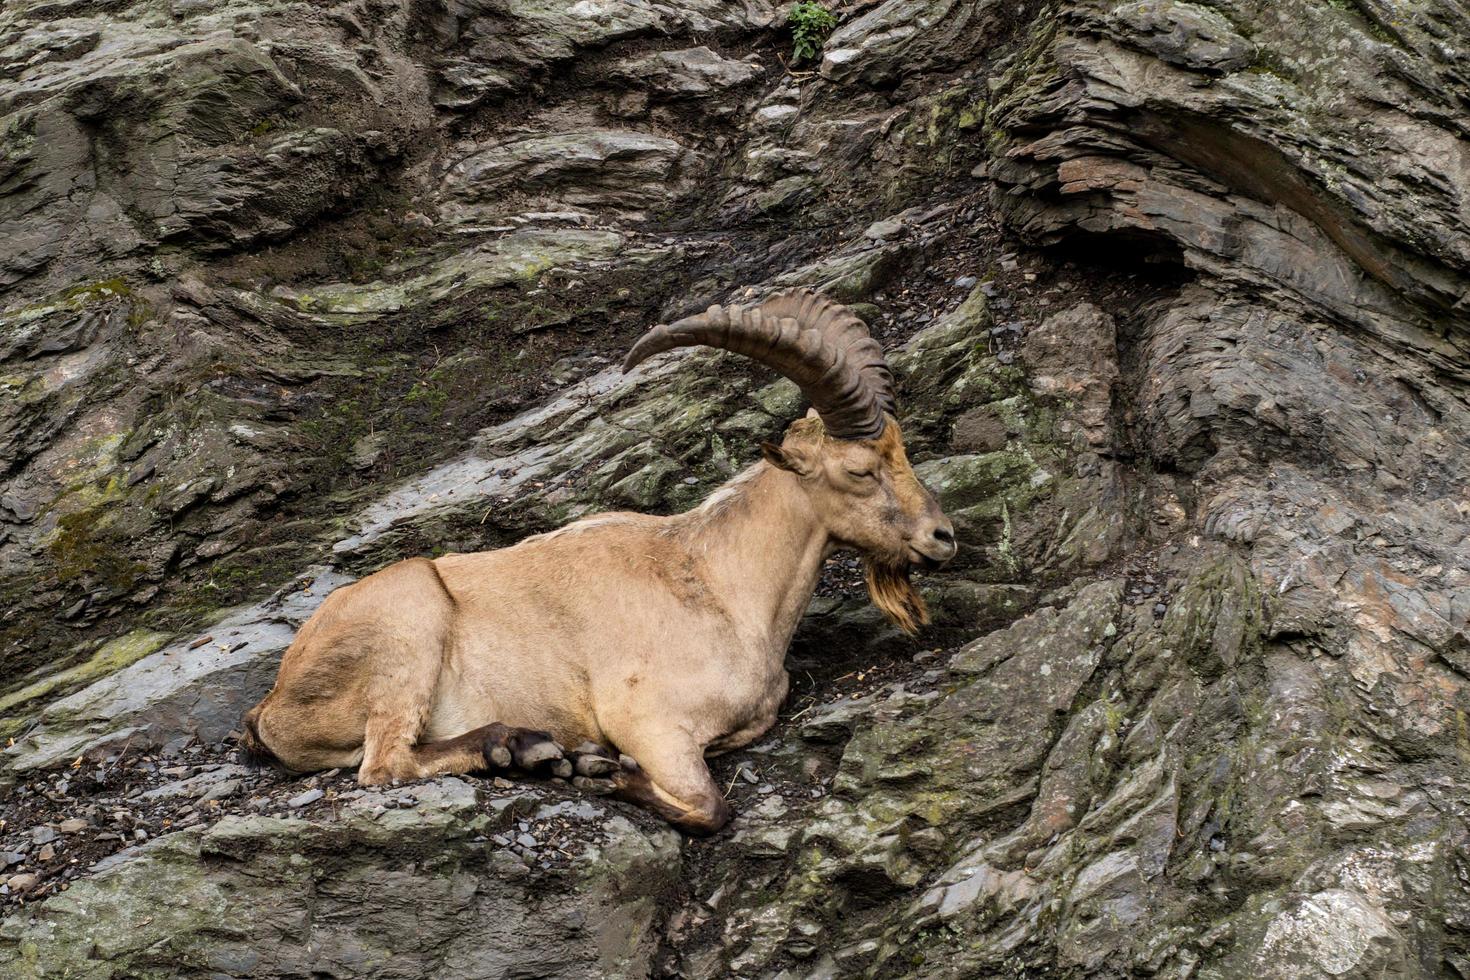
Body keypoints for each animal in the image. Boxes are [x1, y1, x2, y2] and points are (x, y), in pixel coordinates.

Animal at [241, 290, 952, 834]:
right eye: (859, 470)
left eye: (901, 449)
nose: (942, 536)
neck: (721, 585)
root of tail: (271, 706)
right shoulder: (649, 721)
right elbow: (707, 807)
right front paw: (597, 772)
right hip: (409, 621)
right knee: (386, 763)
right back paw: (528, 749)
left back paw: (523, 748)